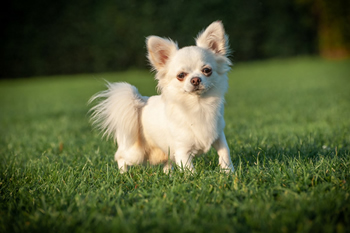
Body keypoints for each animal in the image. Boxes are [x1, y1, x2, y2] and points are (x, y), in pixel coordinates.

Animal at [89, 20, 234, 173]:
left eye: (207, 70)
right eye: (181, 75)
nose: (195, 80)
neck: (198, 105)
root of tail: (139, 102)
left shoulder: (218, 136)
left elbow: (225, 152)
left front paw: (228, 172)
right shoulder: (183, 151)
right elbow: (189, 170)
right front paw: (193, 177)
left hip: (164, 151)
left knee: (167, 163)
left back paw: (168, 175)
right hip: (135, 153)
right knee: (120, 156)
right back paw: (123, 173)